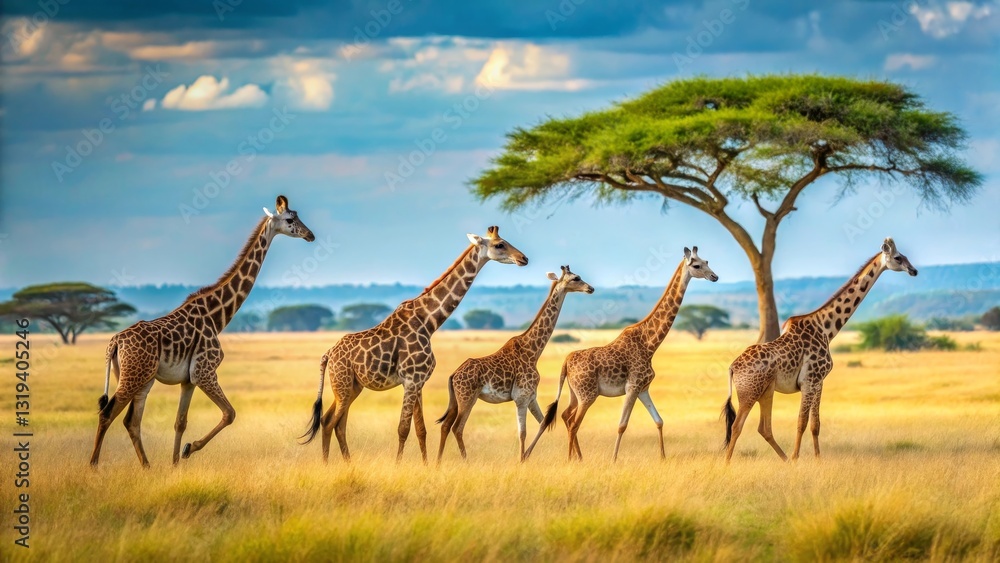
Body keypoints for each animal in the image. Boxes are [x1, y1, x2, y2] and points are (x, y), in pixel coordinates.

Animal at [89, 195, 315, 468]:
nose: (310, 235)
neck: (216, 317)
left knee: (131, 420)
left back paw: (147, 466)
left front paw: (175, 464)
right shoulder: (205, 372)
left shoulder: (189, 380)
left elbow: (180, 422)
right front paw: (188, 450)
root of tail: (114, 342)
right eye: (290, 219)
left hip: (141, 378)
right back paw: (93, 466)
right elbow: (230, 413)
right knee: (107, 414)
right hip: (133, 377)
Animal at [301, 226, 528, 463]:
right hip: (343, 384)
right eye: (500, 244)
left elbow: (421, 429)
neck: (429, 321)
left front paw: (426, 465)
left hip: (353, 386)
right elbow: (403, 428)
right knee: (329, 422)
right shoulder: (411, 380)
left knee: (337, 423)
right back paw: (328, 464)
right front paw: (397, 465)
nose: (523, 259)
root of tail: (328, 354)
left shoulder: (419, 381)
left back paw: (348, 463)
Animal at [436, 265, 595, 463]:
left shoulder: (531, 396)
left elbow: (543, 423)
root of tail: (453, 375)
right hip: (467, 398)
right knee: (457, 427)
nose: (590, 288)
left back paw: (438, 461)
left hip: (456, 399)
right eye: (576, 278)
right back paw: (466, 460)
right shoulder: (521, 397)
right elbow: (522, 432)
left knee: (445, 425)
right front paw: (521, 459)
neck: (533, 352)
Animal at [541, 247, 719, 462]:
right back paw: (571, 460)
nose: (715, 276)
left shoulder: (643, 388)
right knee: (574, 423)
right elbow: (622, 425)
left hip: (575, 393)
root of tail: (566, 362)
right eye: (697, 265)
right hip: (587, 394)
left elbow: (659, 420)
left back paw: (579, 458)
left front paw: (663, 457)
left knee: (566, 416)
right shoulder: (632, 387)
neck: (650, 344)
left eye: (707, 261)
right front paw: (613, 459)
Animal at [722, 237, 918, 463]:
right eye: (898, 257)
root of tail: (732, 368)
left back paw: (784, 460)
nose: (914, 270)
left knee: (764, 428)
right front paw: (797, 458)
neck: (826, 328)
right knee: (737, 426)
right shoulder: (810, 380)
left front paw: (816, 459)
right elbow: (801, 421)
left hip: (765, 391)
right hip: (749, 392)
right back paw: (730, 464)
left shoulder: (819, 383)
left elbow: (815, 424)